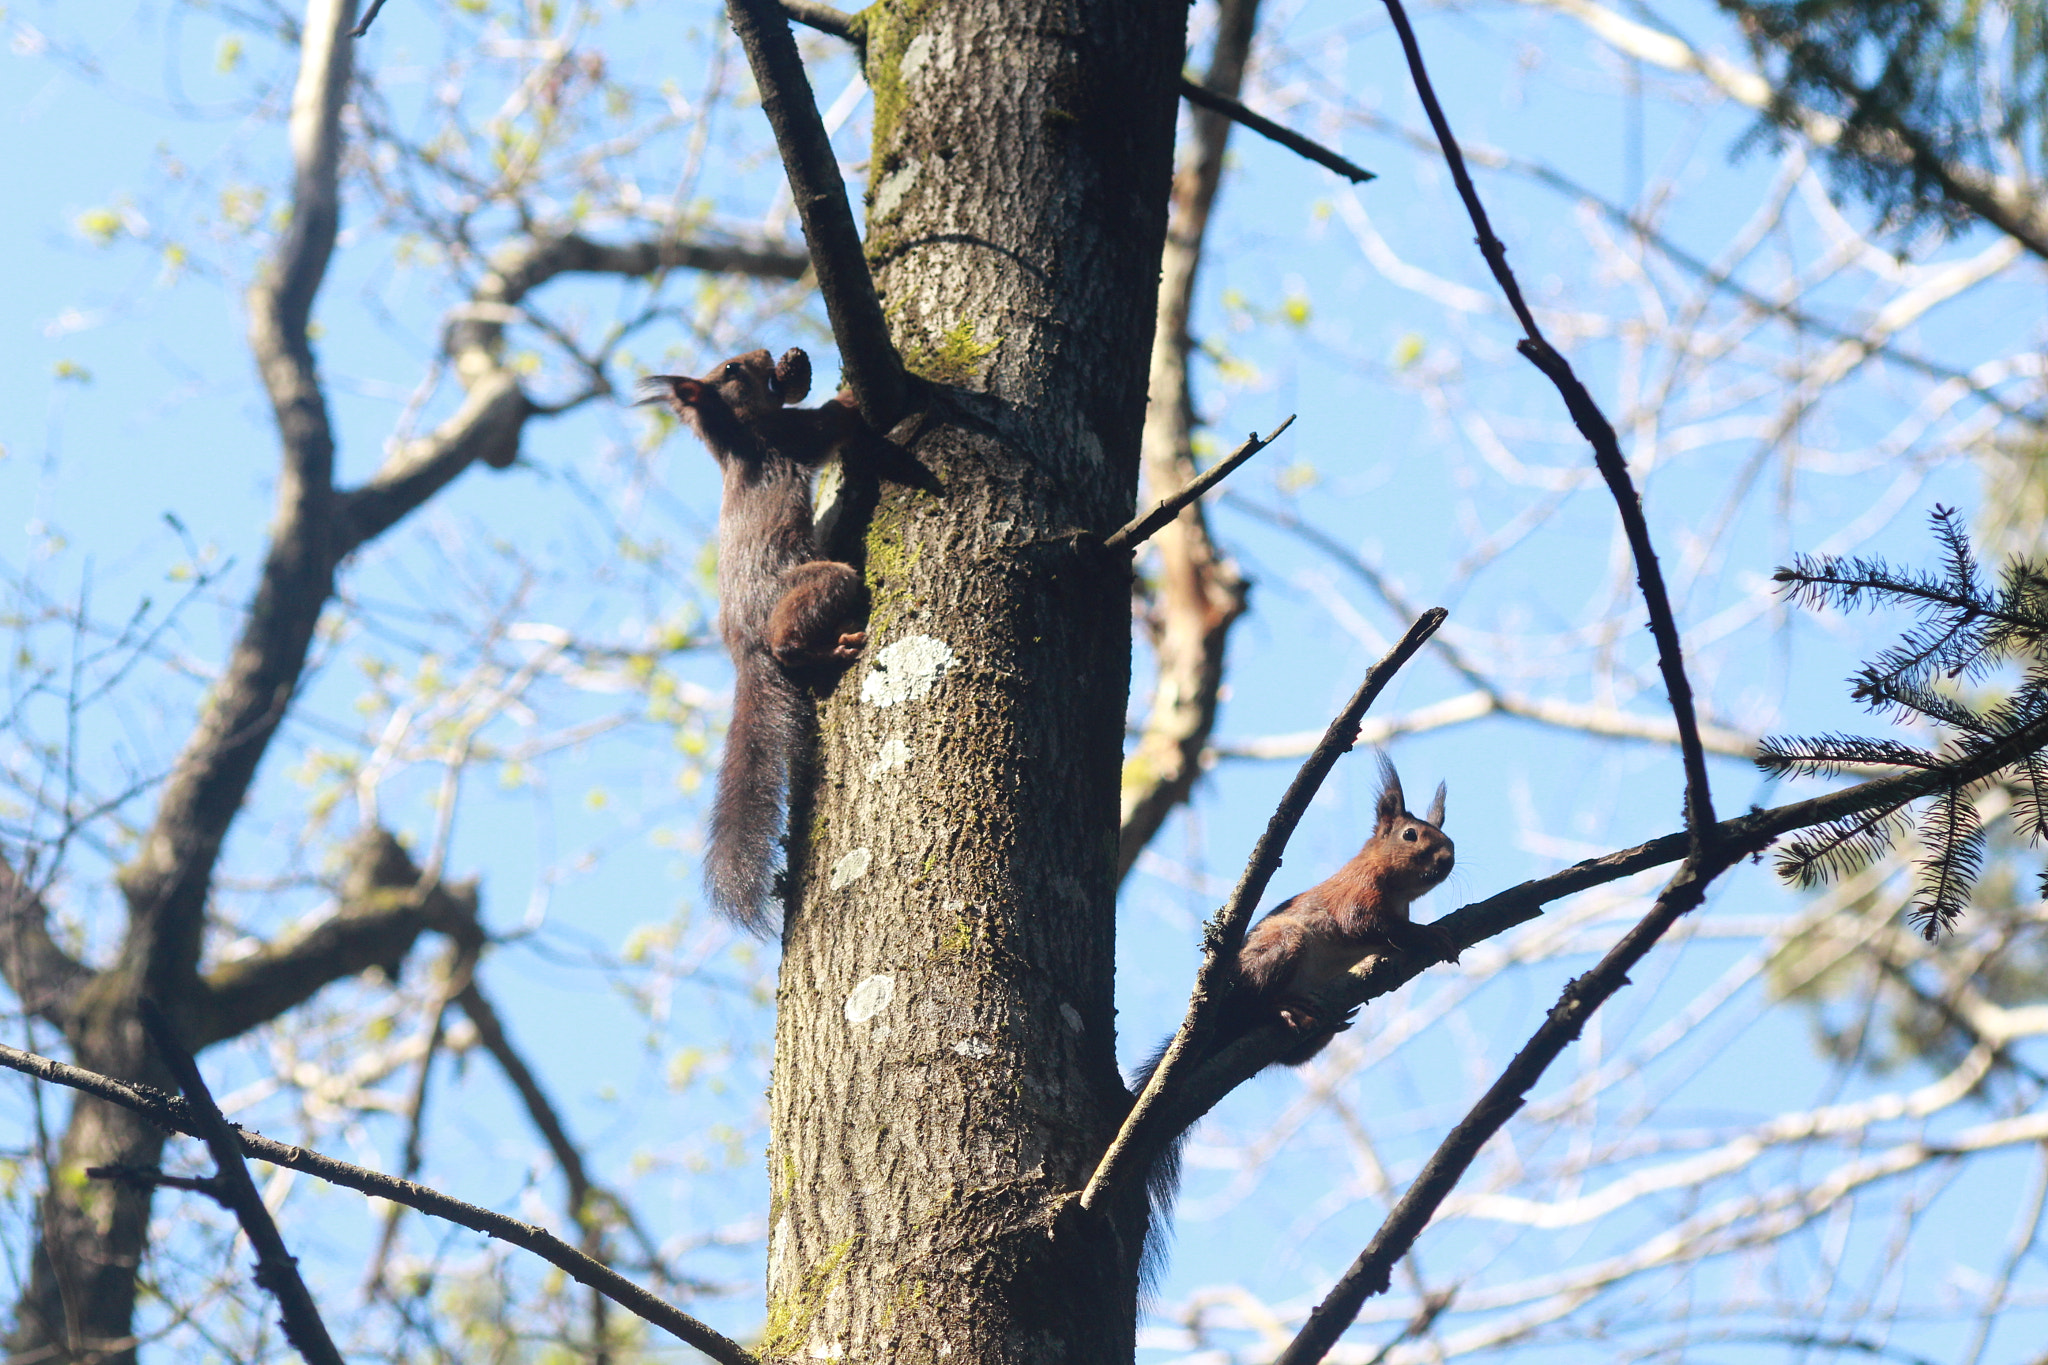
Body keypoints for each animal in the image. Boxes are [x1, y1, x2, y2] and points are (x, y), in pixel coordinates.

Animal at [638, 348, 874, 935]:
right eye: (730, 369)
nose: (768, 355)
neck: (738, 437)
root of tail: (745, 650)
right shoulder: (791, 435)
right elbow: (833, 420)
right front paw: (848, 391)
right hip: (808, 585)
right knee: (792, 635)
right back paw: (826, 649)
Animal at [1133, 754, 1457, 1283]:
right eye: (1411, 835)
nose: (1448, 858)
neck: (1392, 884)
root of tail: (1221, 1019)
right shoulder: (1354, 898)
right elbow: (1369, 926)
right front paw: (1429, 935)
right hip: (1282, 947)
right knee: (1258, 1003)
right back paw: (1285, 1009)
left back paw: (1323, 1025)